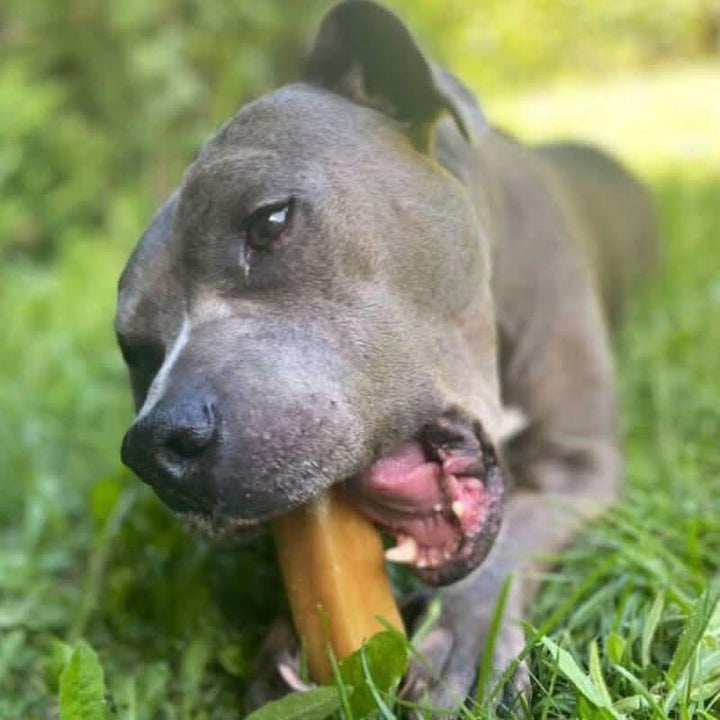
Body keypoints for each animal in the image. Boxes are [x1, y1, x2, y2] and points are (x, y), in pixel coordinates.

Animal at [115, 1, 656, 716]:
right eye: (135, 351)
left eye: (269, 221)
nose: (154, 446)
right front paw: (292, 641)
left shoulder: (581, 463)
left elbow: (514, 538)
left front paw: (463, 635)